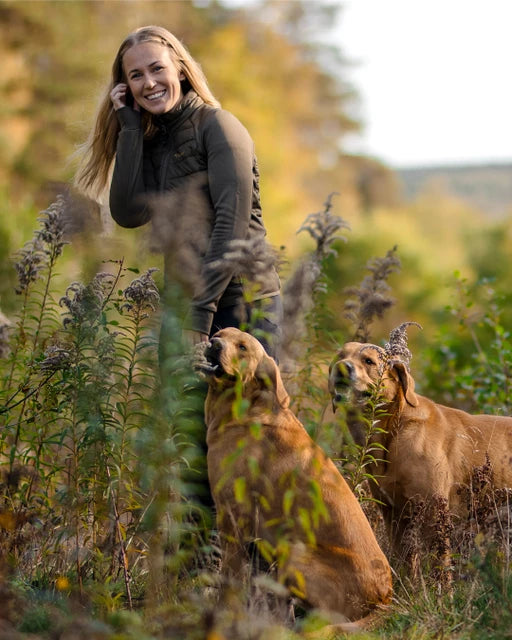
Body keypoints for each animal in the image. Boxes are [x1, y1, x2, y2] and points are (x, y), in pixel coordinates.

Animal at [198, 328, 390, 632]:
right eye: (219, 334)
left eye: (242, 347)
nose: (213, 343)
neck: (243, 409)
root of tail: (384, 598)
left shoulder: (232, 517)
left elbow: (230, 579)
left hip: (295, 553)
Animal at [328, 324, 512, 552]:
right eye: (340, 356)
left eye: (368, 361)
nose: (341, 368)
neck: (394, 429)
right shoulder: (394, 517)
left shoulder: (433, 515)